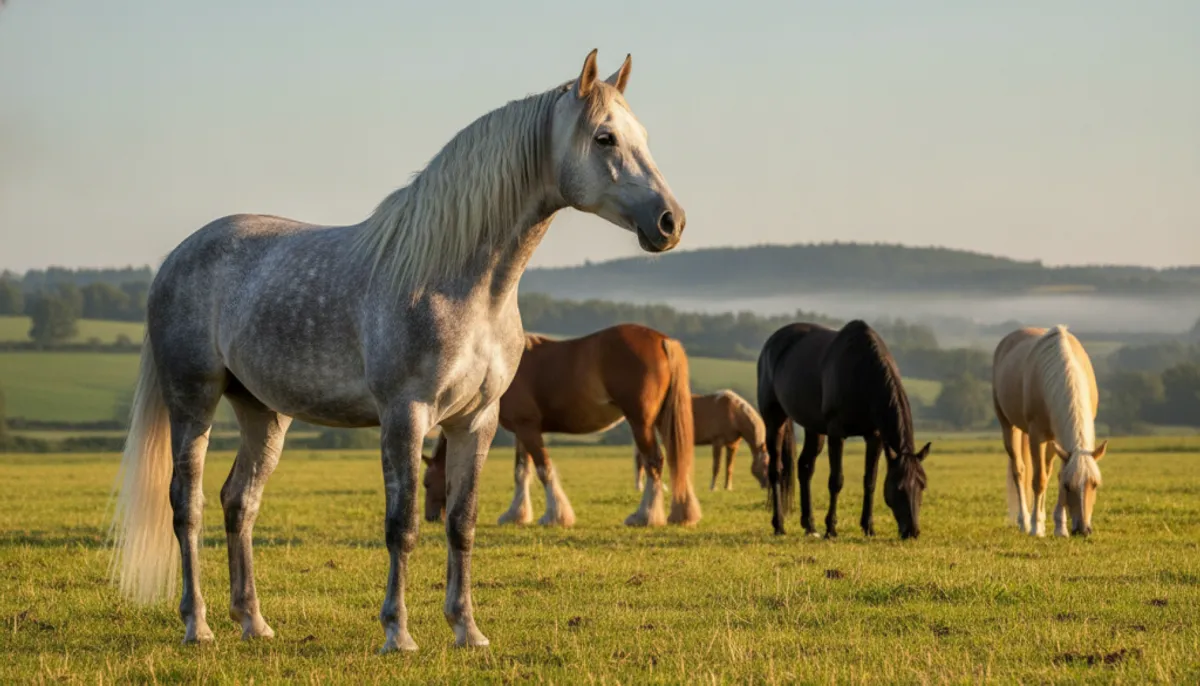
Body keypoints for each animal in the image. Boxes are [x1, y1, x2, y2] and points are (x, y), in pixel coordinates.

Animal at [423, 324, 700, 528]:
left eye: (426, 483)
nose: (431, 517)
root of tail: (663, 340)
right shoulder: (522, 432)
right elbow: (521, 471)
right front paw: (516, 515)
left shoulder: (528, 429)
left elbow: (543, 469)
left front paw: (555, 516)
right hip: (661, 420)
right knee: (675, 461)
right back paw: (682, 514)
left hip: (640, 422)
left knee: (654, 462)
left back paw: (645, 516)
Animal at [633, 390, 767, 492]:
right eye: (766, 464)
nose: (767, 485)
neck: (733, 412)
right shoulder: (717, 442)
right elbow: (716, 466)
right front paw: (713, 487)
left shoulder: (733, 445)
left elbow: (729, 467)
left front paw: (728, 487)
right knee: (641, 459)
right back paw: (641, 486)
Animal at [757, 320, 931, 540]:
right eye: (899, 487)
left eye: (922, 484)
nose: (912, 531)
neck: (861, 373)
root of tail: (771, 343)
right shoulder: (836, 434)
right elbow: (836, 480)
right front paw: (831, 529)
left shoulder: (874, 437)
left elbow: (870, 480)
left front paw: (868, 527)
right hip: (775, 420)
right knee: (776, 470)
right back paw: (779, 526)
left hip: (813, 428)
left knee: (805, 467)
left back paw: (810, 526)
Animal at [992, 326, 1107, 537]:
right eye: (1069, 486)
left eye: (1094, 484)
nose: (1083, 530)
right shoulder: (1037, 436)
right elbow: (1039, 480)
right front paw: (1036, 528)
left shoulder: (1058, 442)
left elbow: (1055, 474)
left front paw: (1060, 527)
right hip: (1009, 427)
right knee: (1019, 471)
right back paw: (1025, 521)